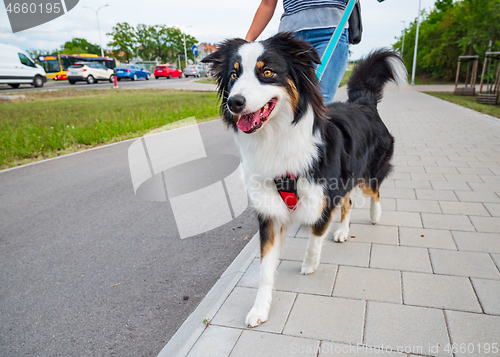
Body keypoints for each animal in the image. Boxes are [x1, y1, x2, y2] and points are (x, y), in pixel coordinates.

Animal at [201, 32, 408, 326]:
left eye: (267, 72)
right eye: (233, 74)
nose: (235, 102)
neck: (277, 140)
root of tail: (363, 102)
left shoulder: (322, 198)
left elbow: (314, 237)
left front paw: (310, 265)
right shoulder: (269, 214)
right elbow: (265, 269)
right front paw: (260, 309)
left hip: (366, 173)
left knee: (374, 191)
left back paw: (375, 215)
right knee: (348, 204)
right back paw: (343, 232)